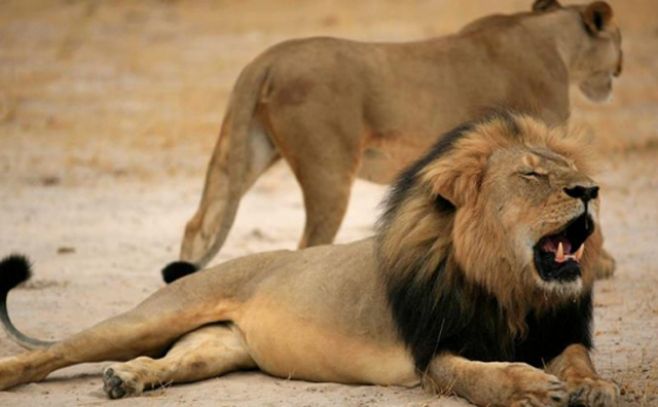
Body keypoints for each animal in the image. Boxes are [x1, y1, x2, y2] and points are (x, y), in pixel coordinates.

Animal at [0, 114, 619, 406]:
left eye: (569, 170)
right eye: (532, 175)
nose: (590, 190)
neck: (509, 287)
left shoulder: (556, 330)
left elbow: (579, 360)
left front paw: (595, 387)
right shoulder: (432, 353)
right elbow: (480, 378)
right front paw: (531, 389)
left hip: (217, 348)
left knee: (169, 362)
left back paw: (126, 380)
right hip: (156, 314)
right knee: (55, 351)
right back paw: (18, 373)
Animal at [177, 0, 622, 278]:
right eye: (618, 38)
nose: (619, 67)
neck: (557, 41)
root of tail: (265, 59)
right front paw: (599, 264)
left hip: (247, 150)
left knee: (199, 223)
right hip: (328, 171)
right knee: (308, 244)